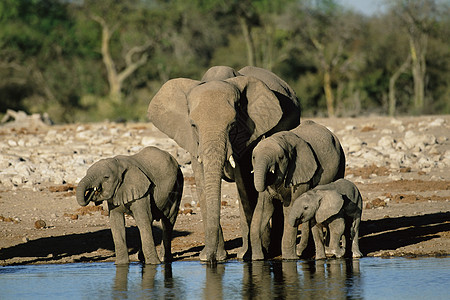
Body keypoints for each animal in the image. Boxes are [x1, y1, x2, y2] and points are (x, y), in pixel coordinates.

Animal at [149, 64, 300, 262]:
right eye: (193, 125)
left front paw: (245, 256)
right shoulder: (193, 143)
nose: (212, 259)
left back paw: (271, 249)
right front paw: (210, 257)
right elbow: (203, 184)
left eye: (233, 125)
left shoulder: (249, 135)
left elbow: (245, 185)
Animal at [250, 119, 344, 260]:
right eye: (253, 157)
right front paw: (257, 259)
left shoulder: (300, 173)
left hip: (341, 163)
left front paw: (289, 259)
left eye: (280, 158)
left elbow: (289, 210)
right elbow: (264, 209)